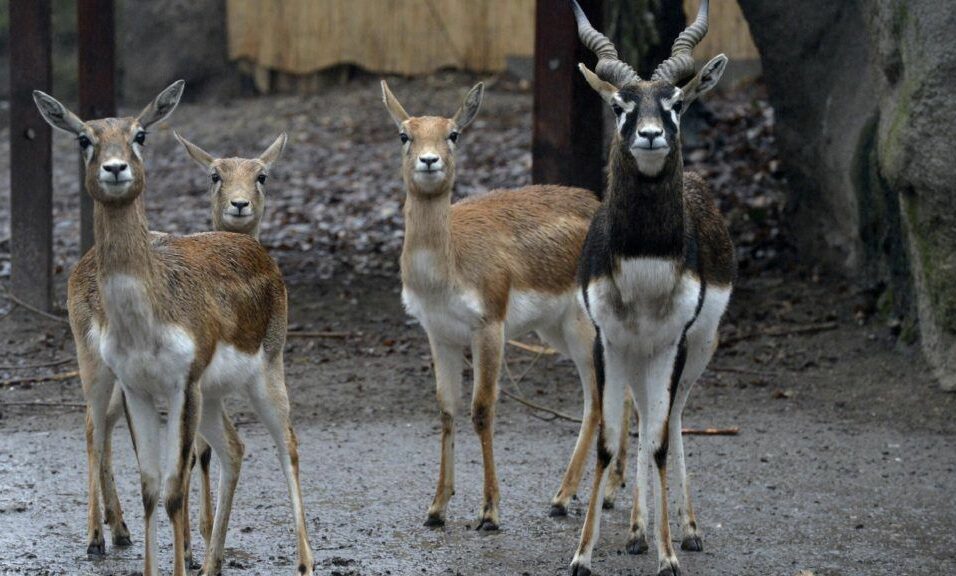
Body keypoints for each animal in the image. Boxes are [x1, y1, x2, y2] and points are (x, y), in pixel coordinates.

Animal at [33, 82, 314, 576]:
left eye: (140, 134)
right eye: (84, 137)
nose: (115, 167)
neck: (149, 320)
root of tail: (256, 250)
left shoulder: (184, 383)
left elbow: (173, 490)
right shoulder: (139, 387)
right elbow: (151, 488)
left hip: (265, 370)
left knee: (285, 444)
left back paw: (302, 562)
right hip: (119, 373)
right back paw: (112, 539)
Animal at [380, 81, 636, 532]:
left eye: (453, 133)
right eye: (404, 134)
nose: (429, 161)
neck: (447, 268)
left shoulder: (490, 324)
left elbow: (482, 409)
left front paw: (489, 512)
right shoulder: (439, 333)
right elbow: (446, 409)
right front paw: (436, 509)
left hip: (584, 328)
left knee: (596, 399)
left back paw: (562, 498)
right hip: (556, 330)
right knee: (621, 395)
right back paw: (607, 493)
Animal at [568, 2, 740, 572]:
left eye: (677, 104)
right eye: (619, 104)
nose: (648, 135)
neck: (644, 262)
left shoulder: (672, 343)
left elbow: (662, 443)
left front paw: (669, 557)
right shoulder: (608, 340)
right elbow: (608, 443)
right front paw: (582, 555)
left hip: (695, 351)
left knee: (671, 422)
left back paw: (686, 531)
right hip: (635, 355)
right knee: (641, 421)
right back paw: (637, 531)